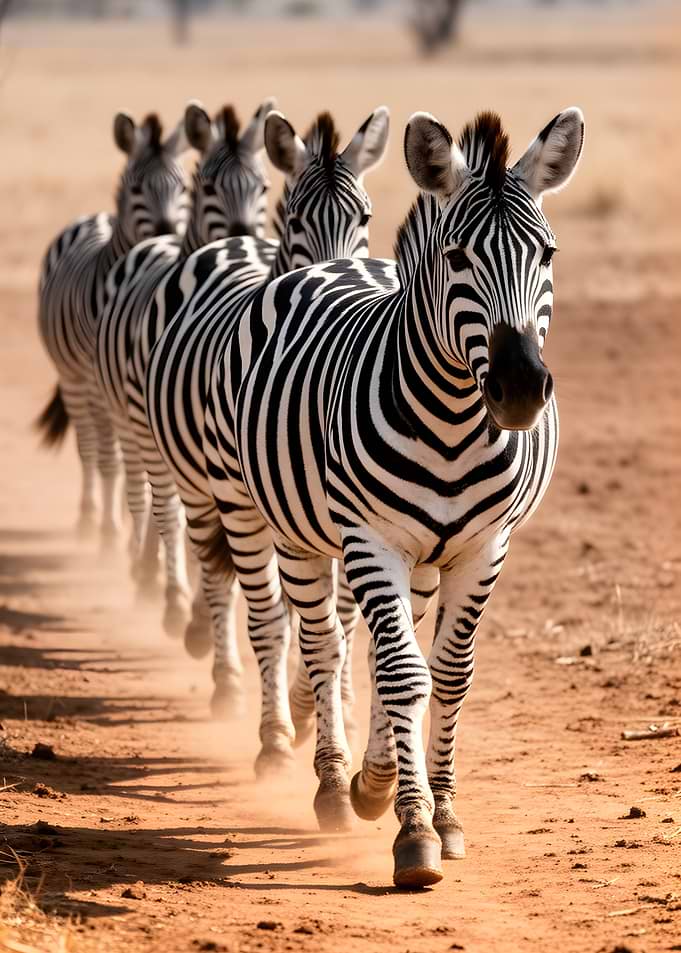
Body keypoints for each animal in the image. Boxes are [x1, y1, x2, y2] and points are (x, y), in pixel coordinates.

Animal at [36, 111, 191, 548]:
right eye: (137, 187)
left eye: (182, 186)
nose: (166, 229)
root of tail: (95, 218)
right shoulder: (94, 381)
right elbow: (108, 456)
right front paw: (109, 531)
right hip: (71, 378)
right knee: (90, 445)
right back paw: (90, 516)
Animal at [93, 99, 275, 628]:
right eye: (209, 188)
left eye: (263, 187)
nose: (241, 233)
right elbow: (170, 514)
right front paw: (181, 601)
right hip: (129, 417)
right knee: (146, 496)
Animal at [143, 107, 390, 737]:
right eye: (295, 217)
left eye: (365, 217)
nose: (340, 271)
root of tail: (233, 242)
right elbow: (280, 616)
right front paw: (288, 719)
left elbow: (342, 619)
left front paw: (328, 703)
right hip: (201, 488)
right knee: (218, 576)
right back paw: (228, 682)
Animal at [204, 106, 585, 888]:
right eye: (457, 256)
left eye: (547, 253)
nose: (519, 391)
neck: (454, 423)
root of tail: (329, 261)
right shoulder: (372, 537)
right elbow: (403, 672)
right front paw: (412, 829)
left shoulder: (483, 546)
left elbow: (446, 675)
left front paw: (439, 810)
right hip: (279, 522)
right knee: (316, 639)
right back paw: (329, 778)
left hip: (416, 559)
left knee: (383, 646)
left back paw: (369, 777)